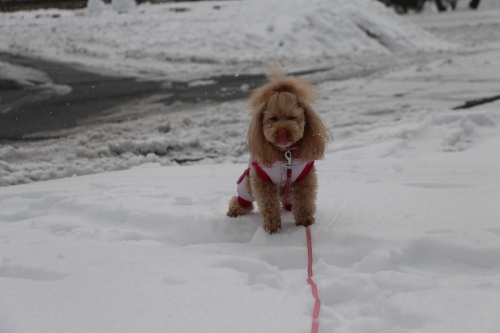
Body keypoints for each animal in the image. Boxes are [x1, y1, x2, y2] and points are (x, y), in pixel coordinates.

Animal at [228, 66, 332, 233]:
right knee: (244, 197)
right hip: (247, 181)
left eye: (291, 117)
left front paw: (305, 220)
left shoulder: (304, 177)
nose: (282, 132)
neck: (285, 154)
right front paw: (272, 226)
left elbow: (304, 199)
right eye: (273, 119)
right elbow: (268, 204)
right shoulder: (262, 179)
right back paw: (237, 208)